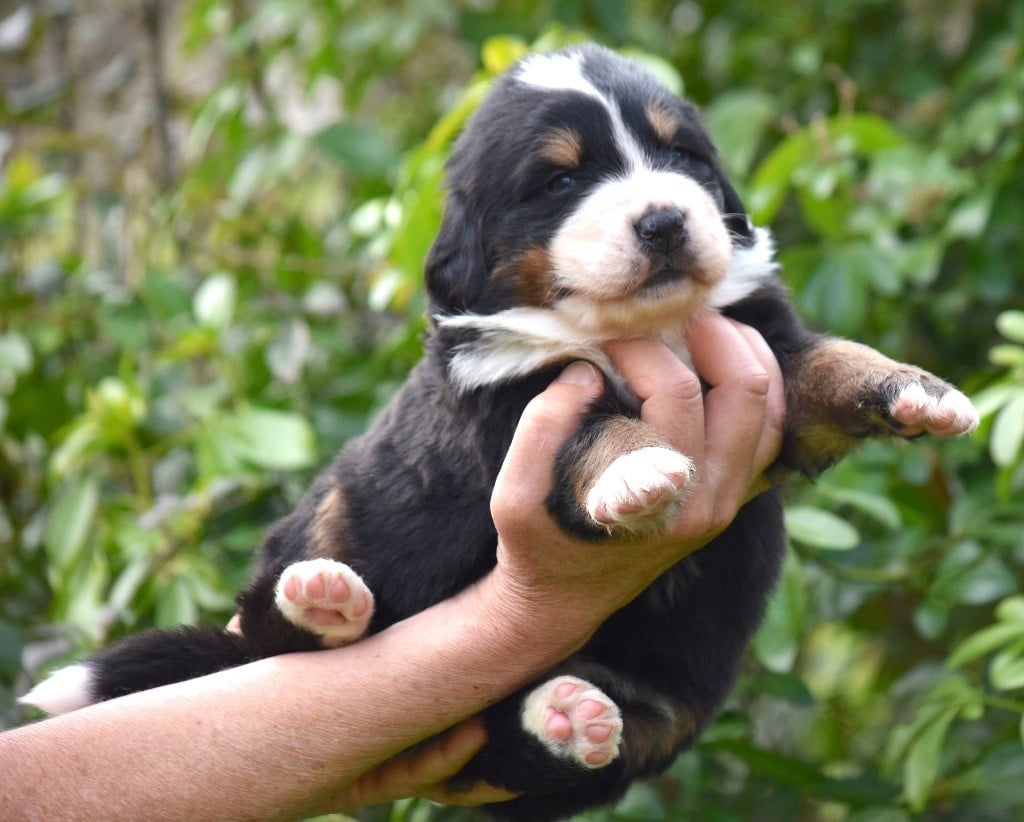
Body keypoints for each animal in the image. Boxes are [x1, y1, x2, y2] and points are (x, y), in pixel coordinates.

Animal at [24, 45, 978, 822]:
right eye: (560, 182)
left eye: (682, 155)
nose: (665, 220)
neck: (637, 328)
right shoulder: (514, 405)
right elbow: (597, 432)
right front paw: (637, 473)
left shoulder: (767, 360)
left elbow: (831, 362)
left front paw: (918, 390)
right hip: (336, 508)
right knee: (267, 634)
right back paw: (323, 601)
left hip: (653, 712)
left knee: (541, 750)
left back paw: (567, 715)